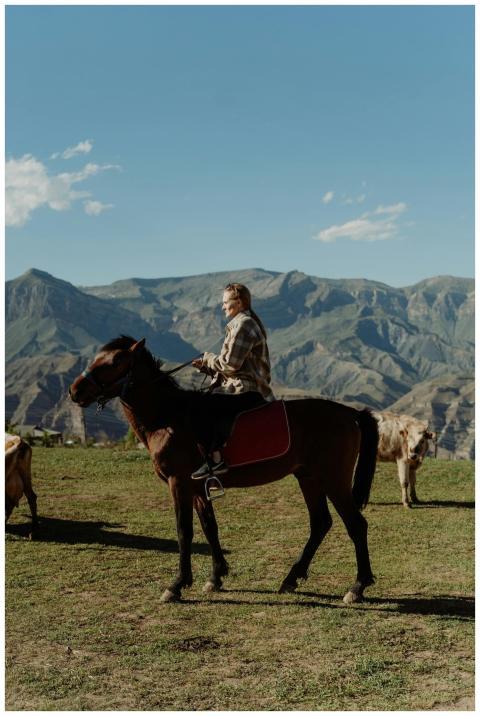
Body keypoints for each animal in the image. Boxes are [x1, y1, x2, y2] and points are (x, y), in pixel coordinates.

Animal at [69, 335, 379, 605]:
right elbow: (210, 528)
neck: (167, 417)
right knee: (320, 523)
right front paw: (215, 577)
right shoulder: (197, 488)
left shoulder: (178, 483)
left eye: (115, 361)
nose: (75, 390)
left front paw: (177, 584)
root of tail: (349, 413)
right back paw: (292, 578)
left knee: (356, 525)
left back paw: (358, 586)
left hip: (333, 479)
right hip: (309, 478)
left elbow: (184, 531)